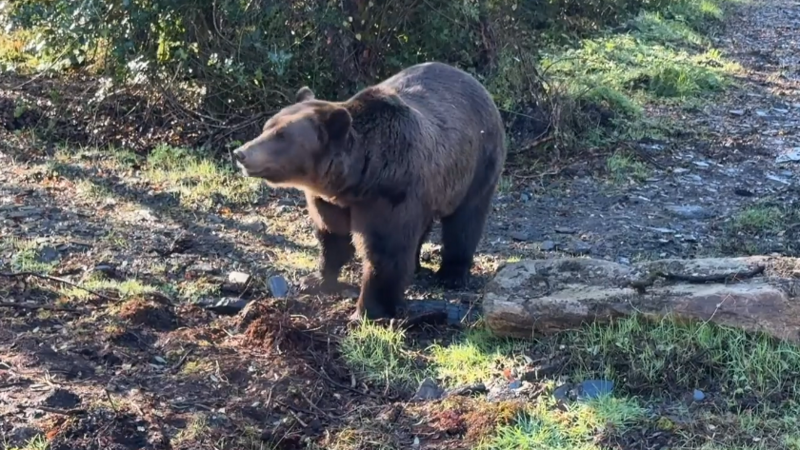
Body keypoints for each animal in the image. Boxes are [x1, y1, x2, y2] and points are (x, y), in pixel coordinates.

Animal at [232, 61, 507, 320]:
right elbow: (332, 235)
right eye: (267, 126)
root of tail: (474, 82)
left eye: (281, 136)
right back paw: (417, 265)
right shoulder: (331, 201)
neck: (358, 180)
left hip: (477, 164)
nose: (240, 153)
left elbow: (385, 250)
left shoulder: (390, 193)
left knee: (465, 220)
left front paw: (369, 309)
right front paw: (315, 279)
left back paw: (452, 274)